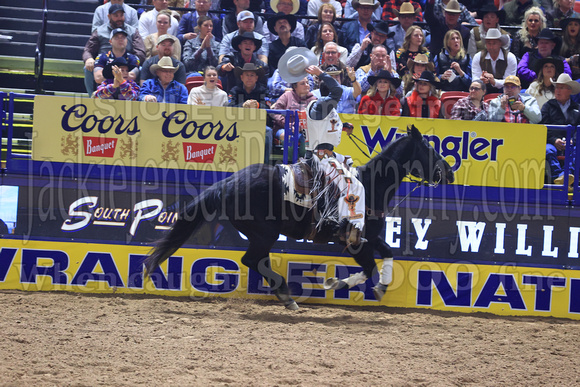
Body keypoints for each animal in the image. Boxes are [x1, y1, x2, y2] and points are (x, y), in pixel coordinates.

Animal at [144, 126, 454, 310]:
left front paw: (380, 287)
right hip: (264, 233)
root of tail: (229, 182)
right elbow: (367, 267)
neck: (371, 186)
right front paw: (337, 284)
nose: (450, 172)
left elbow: (387, 252)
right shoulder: (355, 240)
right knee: (251, 260)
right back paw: (286, 295)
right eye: (430, 149)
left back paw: (284, 294)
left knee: (257, 260)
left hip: (260, 235)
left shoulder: (371, 236)